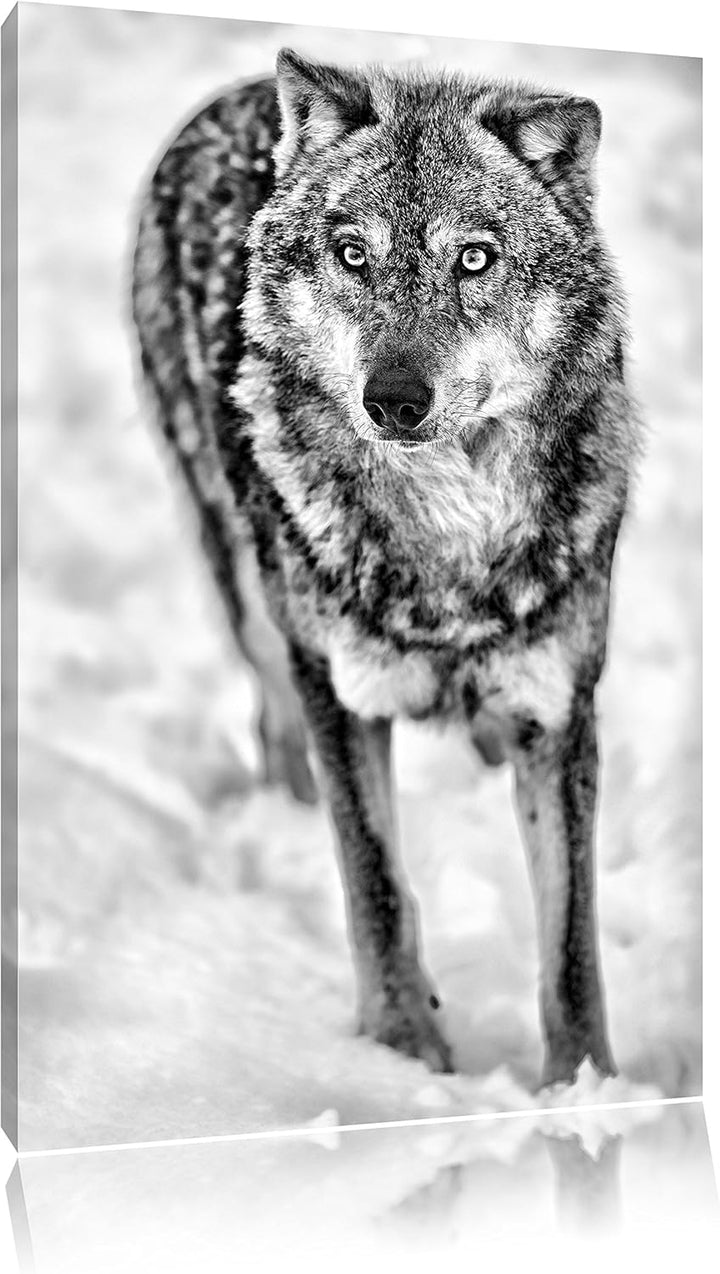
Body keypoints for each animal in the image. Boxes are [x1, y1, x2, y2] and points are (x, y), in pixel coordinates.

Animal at [132, 49, 640, 1085]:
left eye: (474, 258)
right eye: (353, 254)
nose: (395, 400)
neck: (447, 543)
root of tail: (245, 90)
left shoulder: (560, 709)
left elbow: (571, 948)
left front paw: (586, 1095)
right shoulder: (343, 696)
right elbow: (375, 888)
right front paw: (402, 1059)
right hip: (253, 601)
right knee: (273, 721)